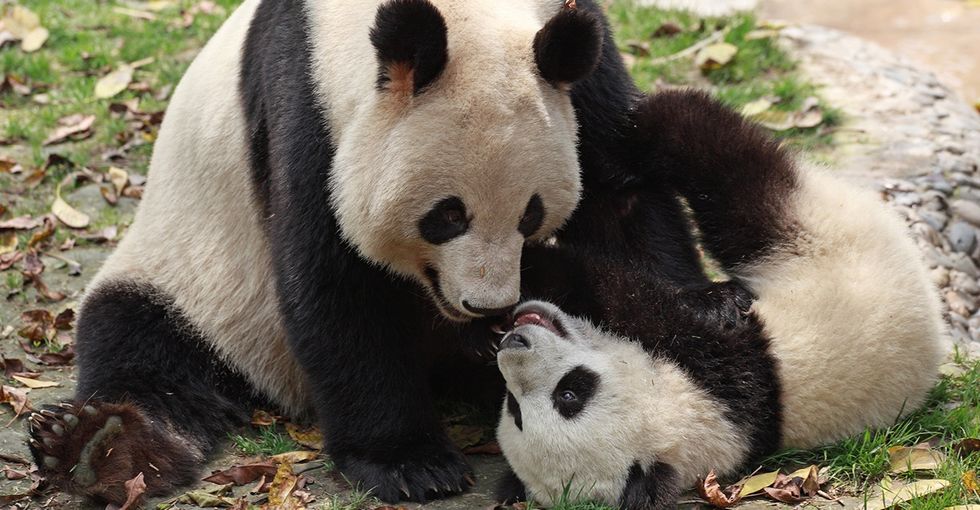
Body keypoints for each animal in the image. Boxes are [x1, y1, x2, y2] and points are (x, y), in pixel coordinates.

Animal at [24, 0, 720, 504]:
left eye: (532, 213)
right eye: (446, 216)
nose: (488, 306)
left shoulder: (579, 59)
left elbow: (618, 185)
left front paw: (691, 325)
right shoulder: (304, 104)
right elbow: (333, 276)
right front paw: (409, 464)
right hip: (197, 278)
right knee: (142, 346)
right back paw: (96, 448)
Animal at [494, 89, 944, 508]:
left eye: (570, 393)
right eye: (515, 408)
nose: (515, 340)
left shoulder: (719, 364)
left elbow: (620, 292)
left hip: (812, 240)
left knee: (729, 167)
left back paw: (639, 128)